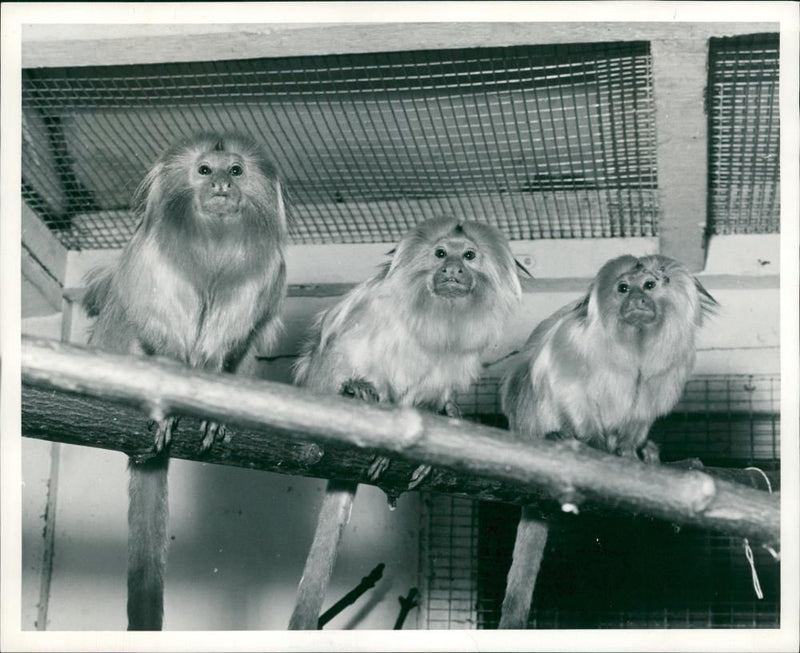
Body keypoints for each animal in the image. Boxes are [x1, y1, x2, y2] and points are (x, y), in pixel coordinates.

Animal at [81, 131, 286, 628]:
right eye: (204, 170)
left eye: (235, 171)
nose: (221, 187)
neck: (213, 238)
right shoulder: (152, 259)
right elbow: (152, 315)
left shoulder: (262, 274)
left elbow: (234, 332)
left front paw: (215, 404)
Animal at [500, 253, 720, 628]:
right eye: (623, 288)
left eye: (649, 285)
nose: (637, 301)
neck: (636, 340)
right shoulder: (576, 337)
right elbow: (566, 379)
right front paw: (596, 446)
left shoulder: (673, 363)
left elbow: (645, 405)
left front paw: (633, 451)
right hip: (529, 415)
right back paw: (556, 437)